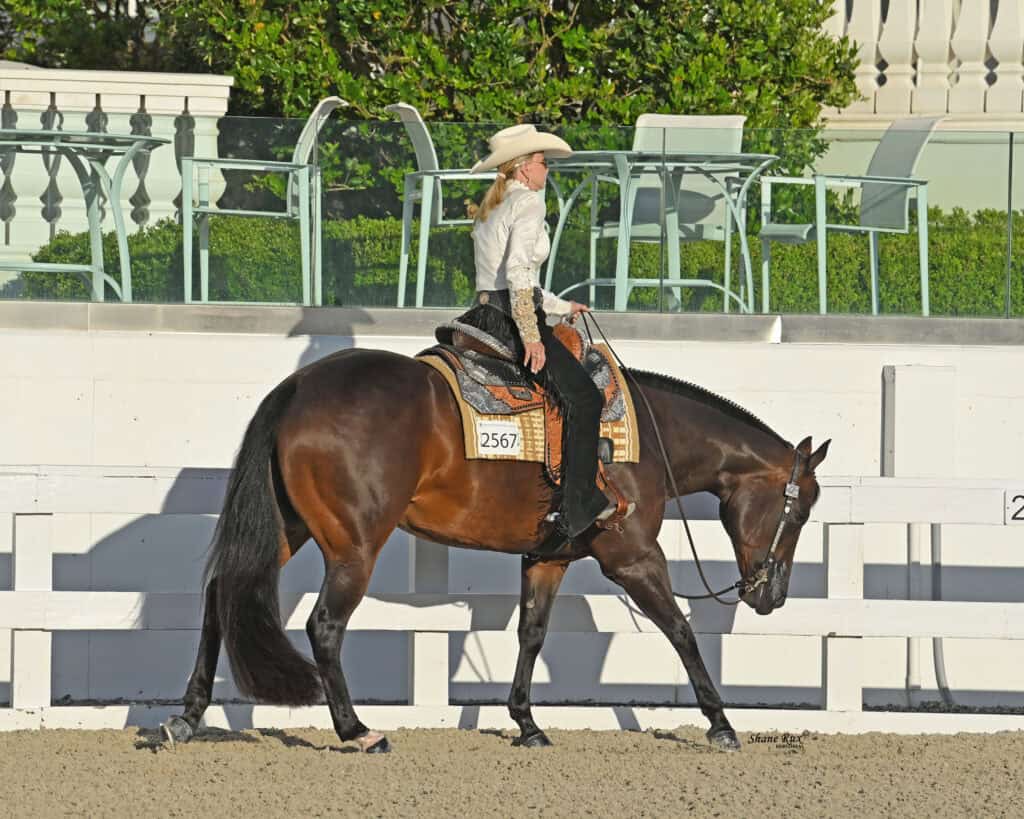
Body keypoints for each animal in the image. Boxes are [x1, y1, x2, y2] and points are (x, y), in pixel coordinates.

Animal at [161, 345, 829, 754]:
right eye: (800, 511)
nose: (771, 595)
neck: (645, 438)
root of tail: (299, 387)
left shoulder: (548, 557)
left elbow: (531, 633)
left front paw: (527, 723)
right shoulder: (634, 559)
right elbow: (681, 630)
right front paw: (722, 723)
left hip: (289, 526)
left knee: (222, 594)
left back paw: (186, 717)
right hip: (353, 545)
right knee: (324, 625)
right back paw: (357, 730)